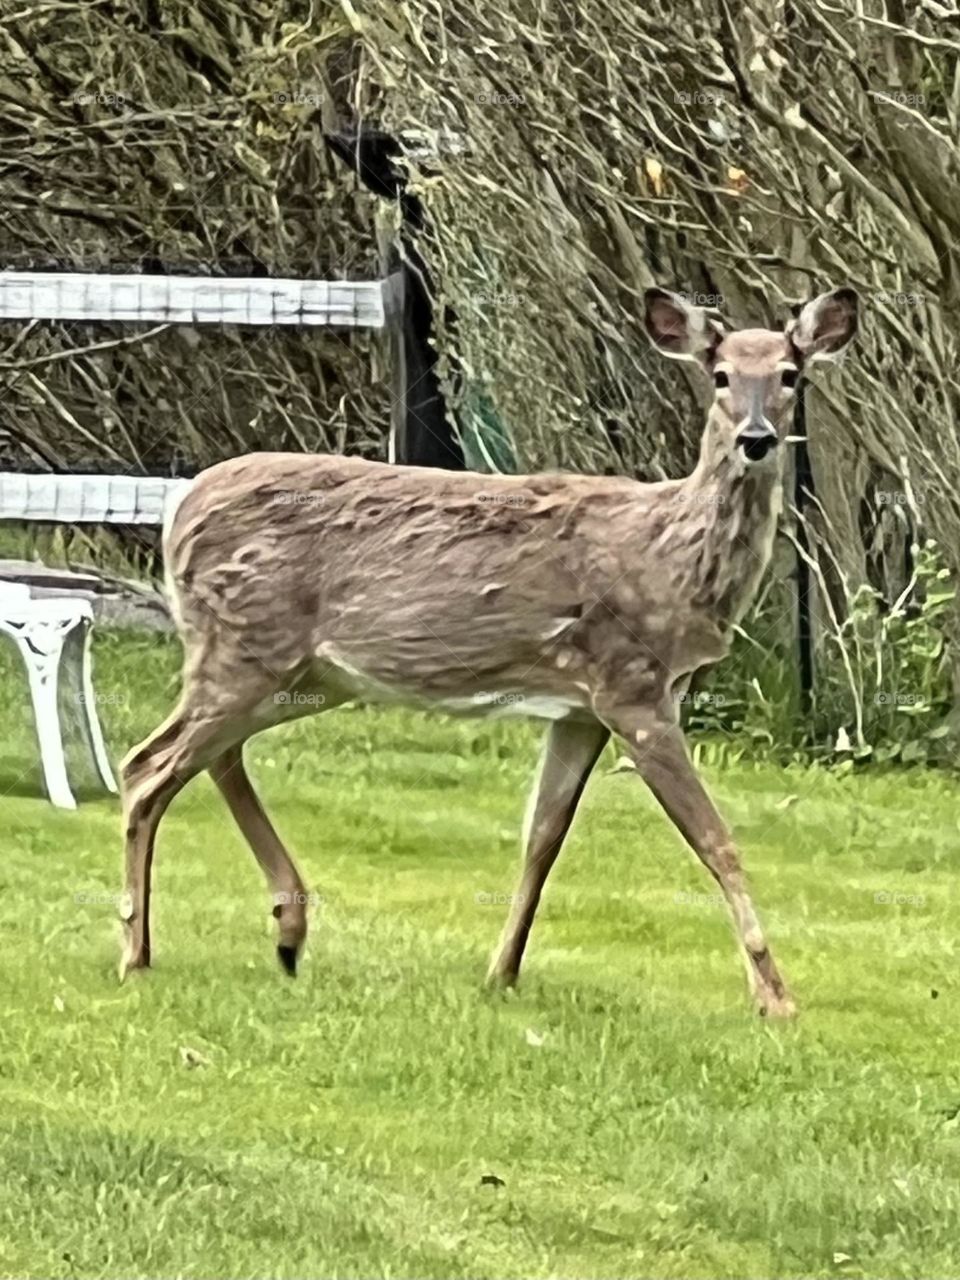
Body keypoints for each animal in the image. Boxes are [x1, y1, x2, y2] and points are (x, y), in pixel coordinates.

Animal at [118, 284, 857, 1016]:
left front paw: (502, 972)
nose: (756, 439)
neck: (669, 555)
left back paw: (287, 933)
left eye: (790, 375)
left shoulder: (580, 709)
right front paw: (776, 998)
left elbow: (543, 838)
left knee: (213, 757)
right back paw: (137, 952)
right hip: (243, 645)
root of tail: (177, 512)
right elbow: (716, 840)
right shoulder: (634, 687)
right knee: (146, 766)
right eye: (721, 374)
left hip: (298, 671)